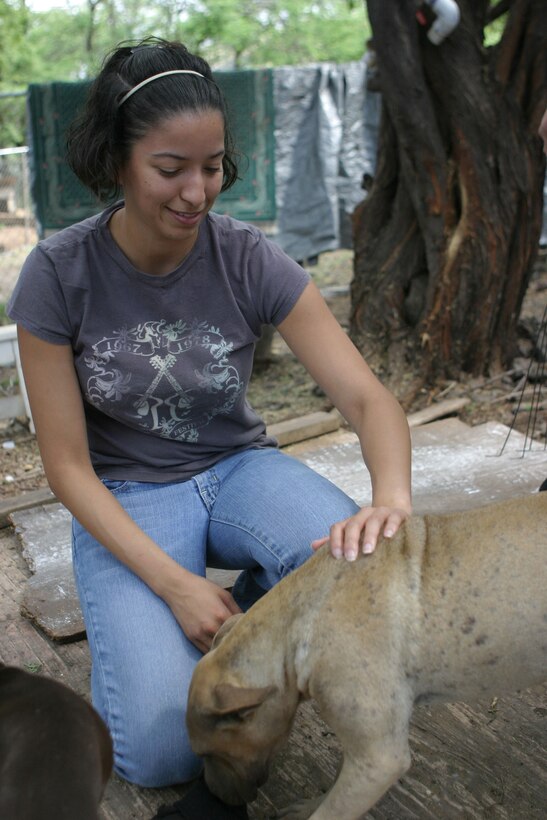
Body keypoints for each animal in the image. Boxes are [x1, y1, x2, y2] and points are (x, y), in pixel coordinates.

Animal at [188, 490, 547, 816]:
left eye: (208, 754)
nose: (214, 796)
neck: (299, 622)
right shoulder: (362, 751)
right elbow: (336, 786)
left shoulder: (379, 759)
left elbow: (331, 812)